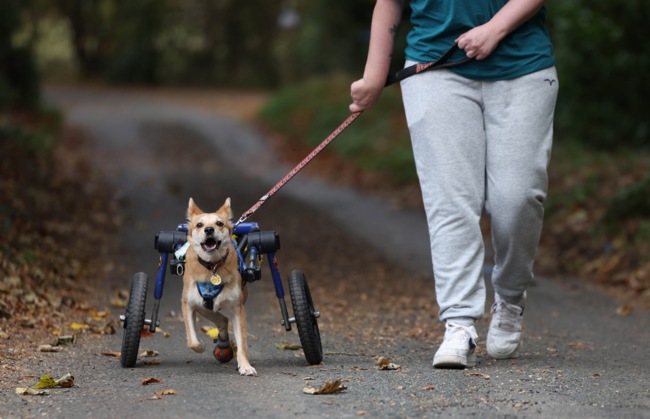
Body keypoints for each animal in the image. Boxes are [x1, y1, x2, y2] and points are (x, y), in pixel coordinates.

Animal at [181, 197, 256, 376]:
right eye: (199, 225)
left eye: (219, 223)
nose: (209, 229)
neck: (212, 267)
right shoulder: (188, 304)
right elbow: (192, 341)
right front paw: (200, 346)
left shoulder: (238, 309)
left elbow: (242, 344)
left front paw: (245, 366)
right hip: (202, 306)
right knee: (221, 319)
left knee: (223, 319)